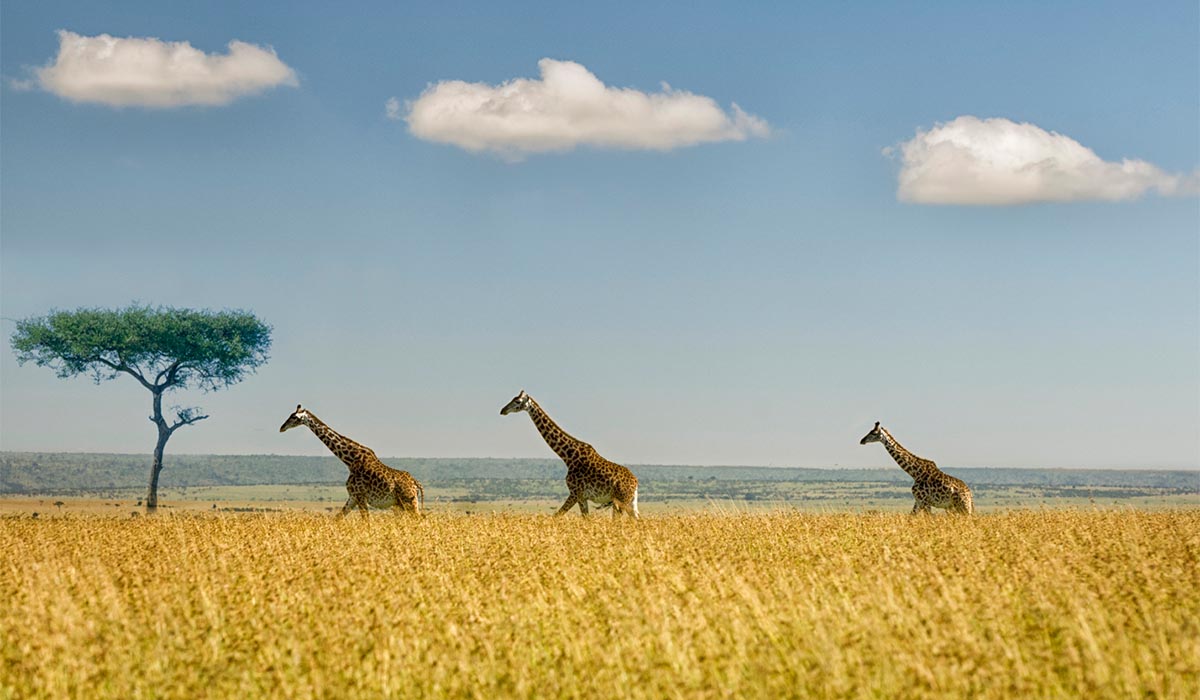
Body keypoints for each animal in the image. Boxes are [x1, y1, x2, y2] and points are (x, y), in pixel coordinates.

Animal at [279, 405, 424, 517]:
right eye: (290, 415)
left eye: (294, 417)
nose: (282, 427)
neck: (350, 460)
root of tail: (415, 483)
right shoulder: (353, 497)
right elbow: (338, 518)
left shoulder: (360, 496)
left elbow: (367, 522)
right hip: (401, 504)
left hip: (409, 502)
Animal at [500, 390, 639, 518]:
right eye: (513, 398)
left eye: (517, 401)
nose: (503, 410)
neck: (568, 457)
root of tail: (635, 482)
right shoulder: (581, 496)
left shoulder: (576, 493)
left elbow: (559, 515)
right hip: (631, 502)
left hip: (620, 501)